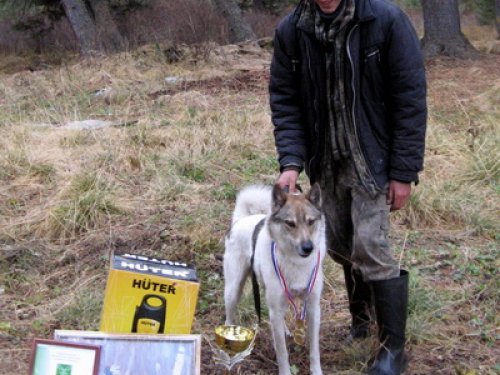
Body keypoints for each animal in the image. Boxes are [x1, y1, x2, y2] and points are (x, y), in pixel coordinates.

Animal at [224, 184, 326, 374]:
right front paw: (285, 371)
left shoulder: (313, 307)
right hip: (233, 291)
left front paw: (316, 371)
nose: (308, 247)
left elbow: (314, 349)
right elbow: (282, 352)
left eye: (310, 222)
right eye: (290, 223)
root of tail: (241, 220)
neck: (296, 261)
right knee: (229, 319)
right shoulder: (276, 309)